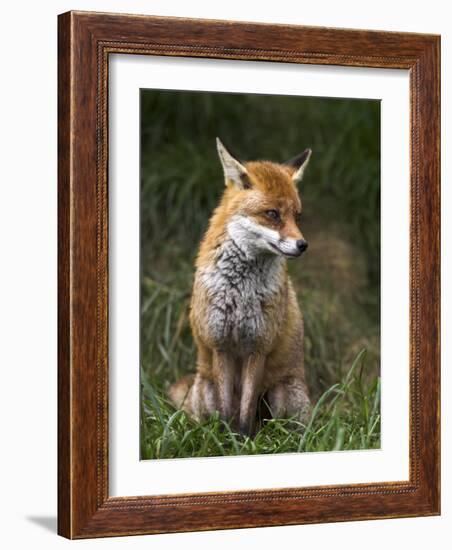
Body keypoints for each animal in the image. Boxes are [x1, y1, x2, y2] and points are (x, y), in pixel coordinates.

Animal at [168, 138, 312, 436]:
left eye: (297, 216)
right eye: (272, 214)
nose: (303, 245)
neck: (240, 290)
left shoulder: (258, 346)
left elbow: (245, 412)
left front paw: (245, 439)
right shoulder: (221, 344)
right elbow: (227, 409)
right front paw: (227, 439)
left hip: (282, 394)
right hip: (206, 388)